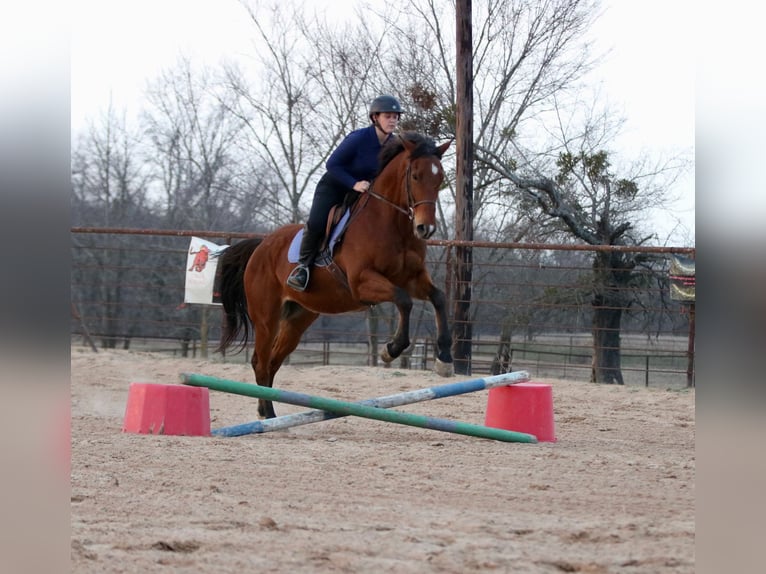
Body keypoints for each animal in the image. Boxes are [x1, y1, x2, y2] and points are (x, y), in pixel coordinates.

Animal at [217, 131, 454, 419]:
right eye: (416, 176)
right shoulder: (362, 282)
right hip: (266, 317)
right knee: (260, 363)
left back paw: (268, 412)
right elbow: (403, 300)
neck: (392, 224)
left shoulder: (414, 279)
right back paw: (268, 415)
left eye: (439, 178)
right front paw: (391, 349)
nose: (425, 228)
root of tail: (261, 246)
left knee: (272, 362)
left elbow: (438, 298)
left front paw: (444, 359)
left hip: (298, 318)